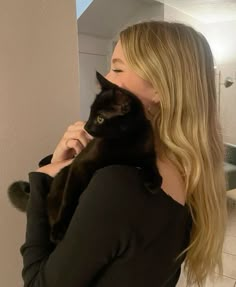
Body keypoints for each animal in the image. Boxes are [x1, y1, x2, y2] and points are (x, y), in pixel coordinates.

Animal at [7, 71, 162, 243]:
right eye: (90, 113)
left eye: (100, 118)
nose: (86, 127)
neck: (124, 140)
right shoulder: (80, 164)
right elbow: (69, 198)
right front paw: (60, 228)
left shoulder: (147, 151)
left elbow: (151, 163)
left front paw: (154, 181)